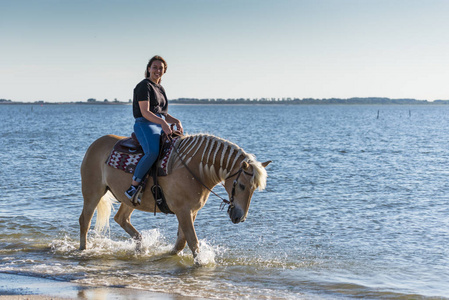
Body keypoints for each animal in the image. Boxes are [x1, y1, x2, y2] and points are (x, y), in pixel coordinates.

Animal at [79, 134, 270, 258]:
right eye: (242, 185)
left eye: (254, 188)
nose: (239, 217)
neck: (194, 169)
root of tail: (95, 144)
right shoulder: (183, 211)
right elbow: (192, 240)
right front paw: (200, 263)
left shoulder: (191, 211)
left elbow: (181, 241)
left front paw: (170, 254)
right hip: (93, 192)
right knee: (85, 220)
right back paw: (83, 249)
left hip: (129, 200)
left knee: (121, 218)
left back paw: (141, 248)